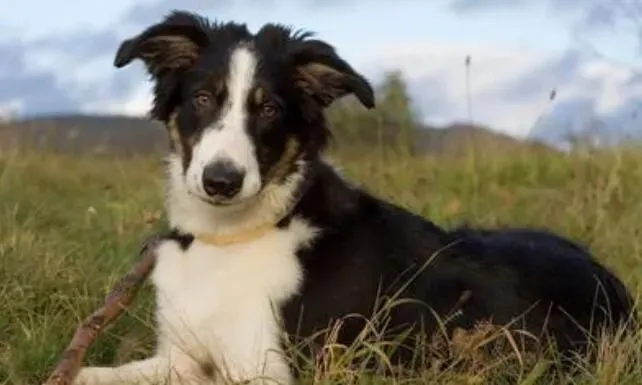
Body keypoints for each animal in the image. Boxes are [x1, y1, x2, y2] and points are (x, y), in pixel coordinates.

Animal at [71, 9, 636, 384]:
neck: (232, 237)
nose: (221, 181)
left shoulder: (273, 369)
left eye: (269, 109)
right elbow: (86, 373)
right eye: (203, 98)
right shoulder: (181, 357)